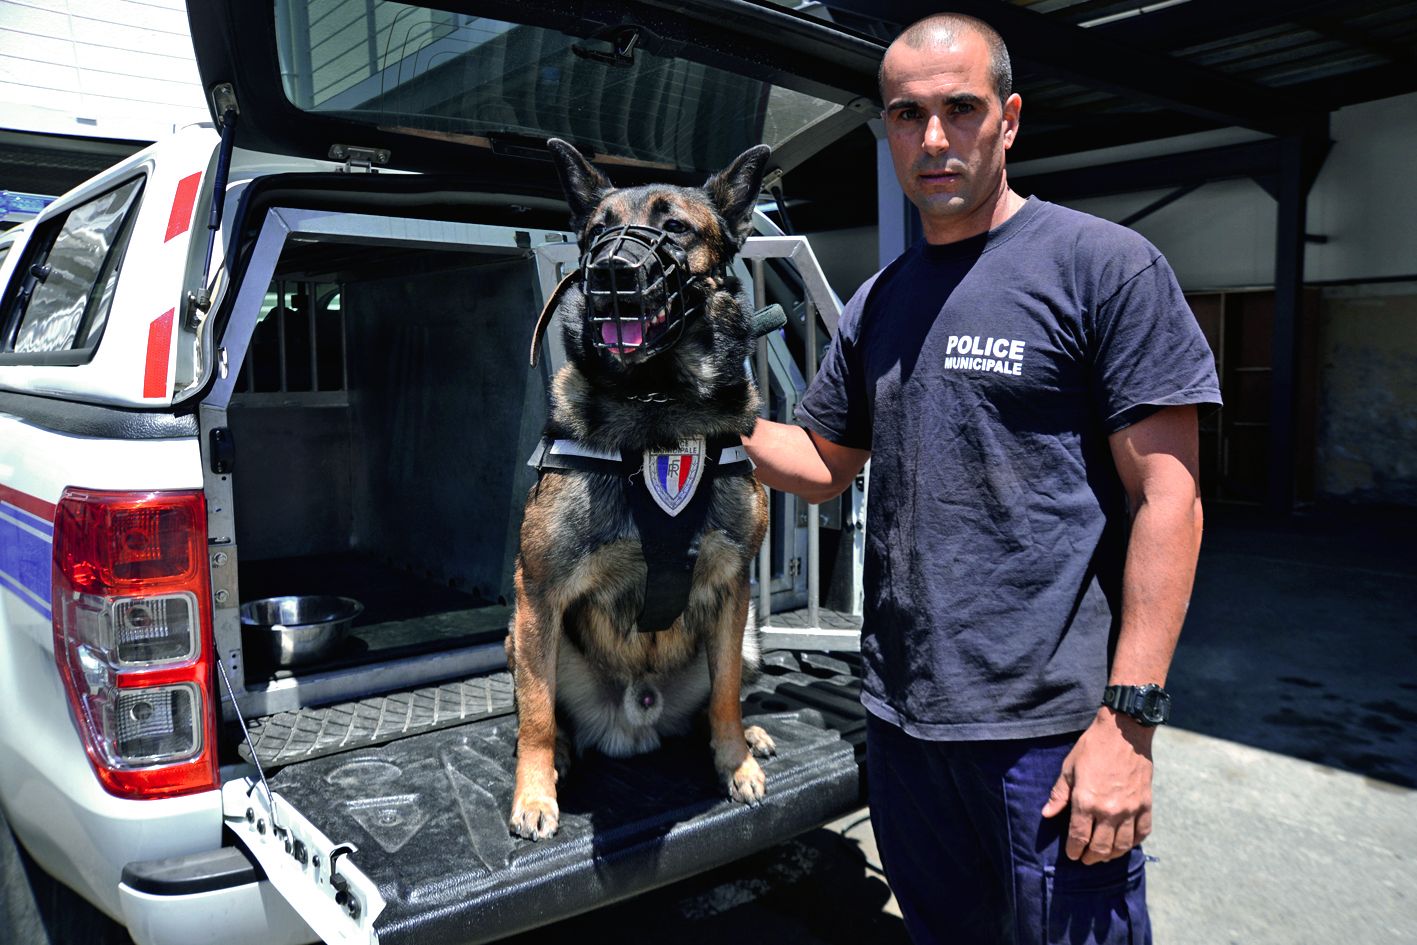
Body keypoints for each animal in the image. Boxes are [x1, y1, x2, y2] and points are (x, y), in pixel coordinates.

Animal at [507, 136, 776, 838]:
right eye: (597, 235)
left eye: (675, 227)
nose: (610, 273)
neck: (660, 403)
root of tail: (637, 718)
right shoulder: (538, 590)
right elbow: (536, 712)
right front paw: (534, 796)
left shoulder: (733, 587)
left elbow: (727, 694)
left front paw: (734, 761)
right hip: (523, 633)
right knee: (542, 707)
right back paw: (560, 757)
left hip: (750, 634)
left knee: (719, 695)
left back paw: (747, 737)